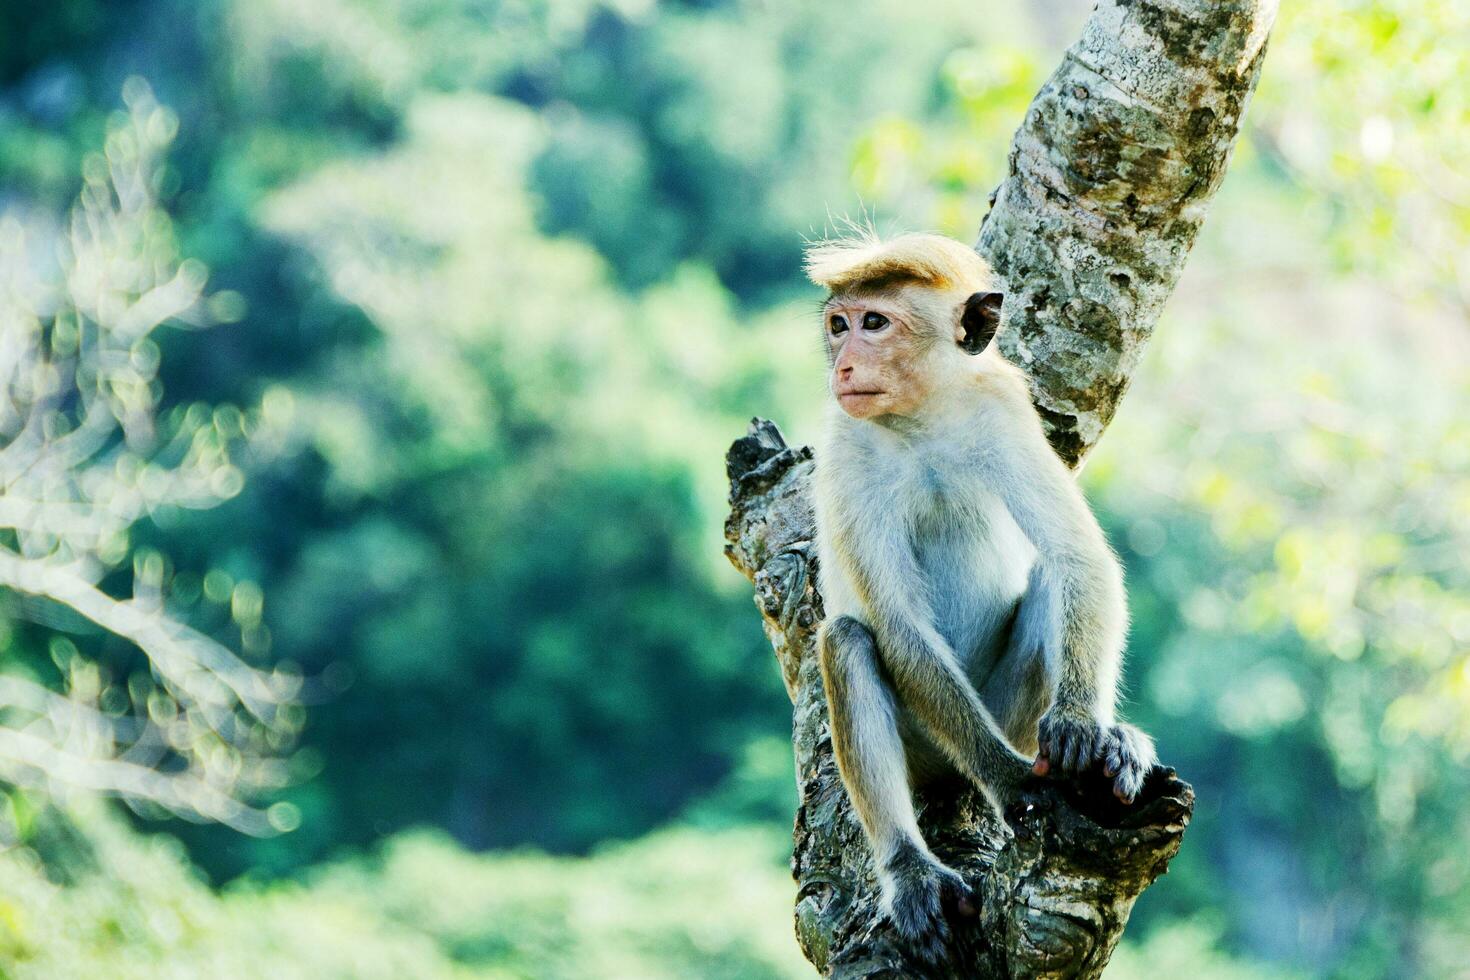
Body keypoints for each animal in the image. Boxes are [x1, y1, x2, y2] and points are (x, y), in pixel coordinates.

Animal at [805, 232, 1158, 957]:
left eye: (873, 323)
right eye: (838, 325)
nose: (845, 365)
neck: (919, 420)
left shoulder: (1002, 409)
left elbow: (1078, 557)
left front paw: (1085, 728)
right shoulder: (848, 448)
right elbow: (899, 625)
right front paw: (1011, 780)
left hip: (1009, 709)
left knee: (1051, 577)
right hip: (928, 746)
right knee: (849, 639)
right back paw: (911, 869)